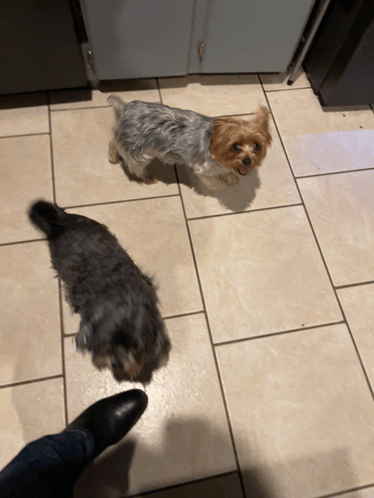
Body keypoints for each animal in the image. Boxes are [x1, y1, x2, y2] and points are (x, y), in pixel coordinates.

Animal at [106, 95, 270, 191]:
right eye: (235, 146)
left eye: (256, 145)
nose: (247, 161)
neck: (214, 147)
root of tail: (125, 109)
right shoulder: (202, 169)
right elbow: (212, 181)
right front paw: (220, 185)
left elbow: (224, 172)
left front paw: (229, 177)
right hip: (138, 152)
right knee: (135, 167)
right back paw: (147, 177)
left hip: (124, 138)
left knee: (113, 142)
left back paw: (113, 157)